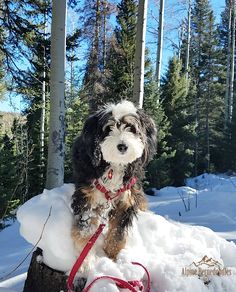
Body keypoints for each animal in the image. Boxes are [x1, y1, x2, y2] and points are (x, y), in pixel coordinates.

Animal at [71, 101, 158, 272]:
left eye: (131, 128)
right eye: (109, 128)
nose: (122, 146)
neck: (115, 165)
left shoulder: (126, 200)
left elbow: (118, 232)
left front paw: (112, 257)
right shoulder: (86, 196)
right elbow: (84, 230)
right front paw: (86, 262)